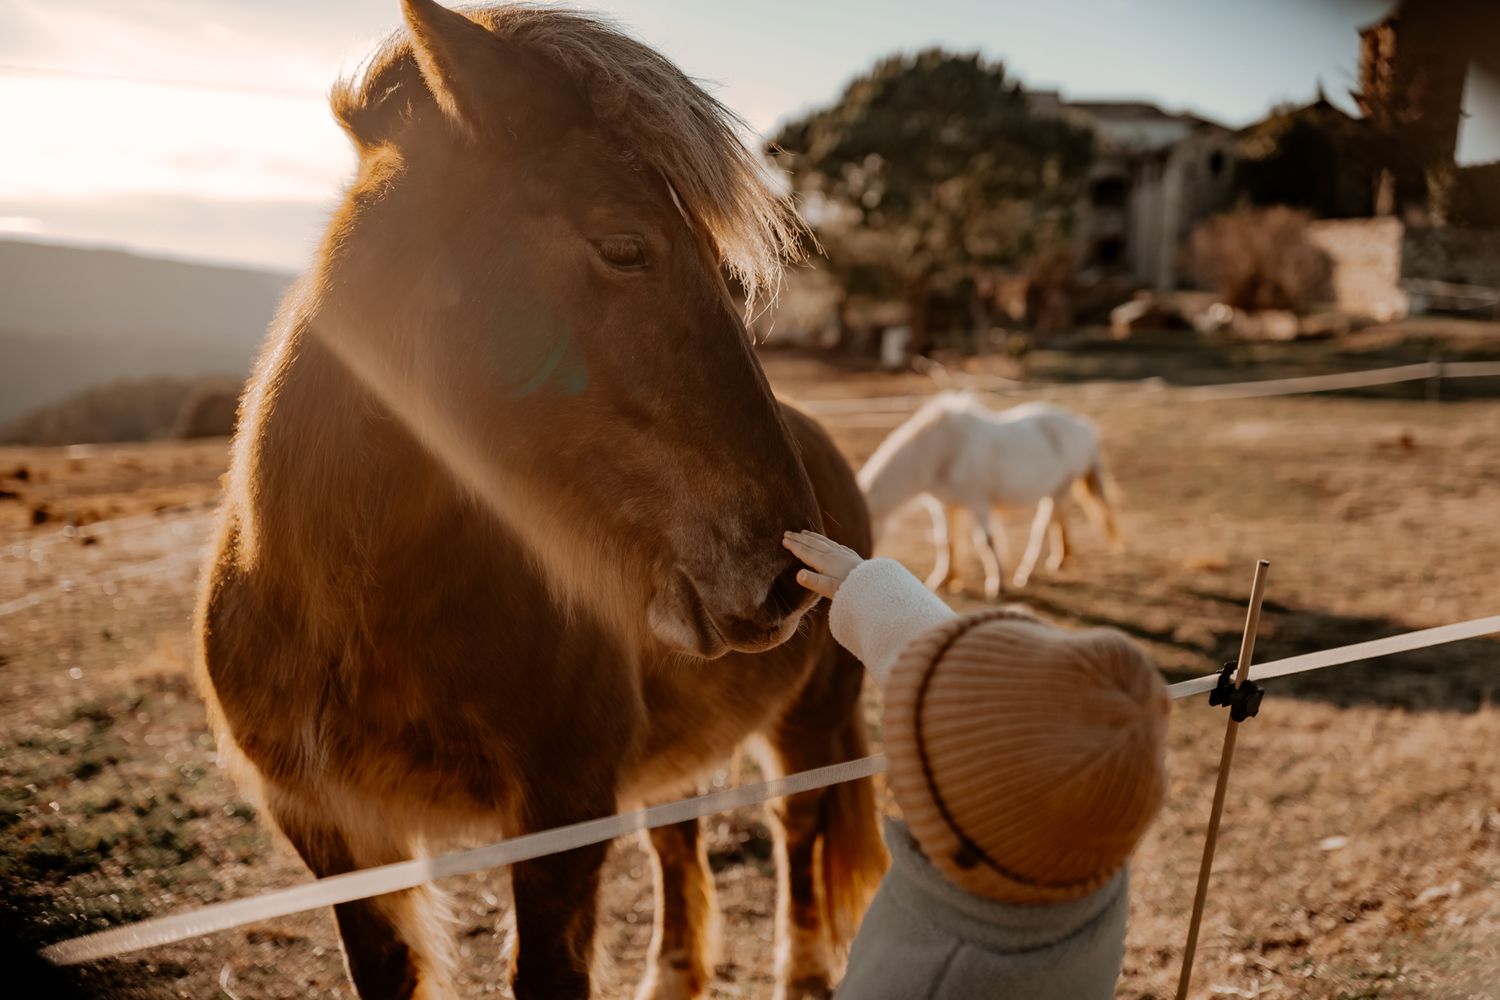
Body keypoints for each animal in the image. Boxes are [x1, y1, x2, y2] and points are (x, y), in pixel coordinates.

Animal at [192, 3, 885, 998]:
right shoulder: (335, 835)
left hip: (812, 720)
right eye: (625, 246)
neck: (345, 616)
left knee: (798, 834)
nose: (786, 569)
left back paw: (803, 973)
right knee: (681, 838)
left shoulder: (561, 820)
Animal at [858, 392, 1121, 599]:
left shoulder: (978, 503)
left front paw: (997, 585)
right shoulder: (945, 506)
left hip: (1060, 489)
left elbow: (986, 541)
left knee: (1043, 526)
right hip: (1056, 492)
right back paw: (1060, 560)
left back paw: (1025, 573)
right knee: (1059, 521)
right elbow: (946, 541)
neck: (940, 450)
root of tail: (1085, 428)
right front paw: (943, 581)